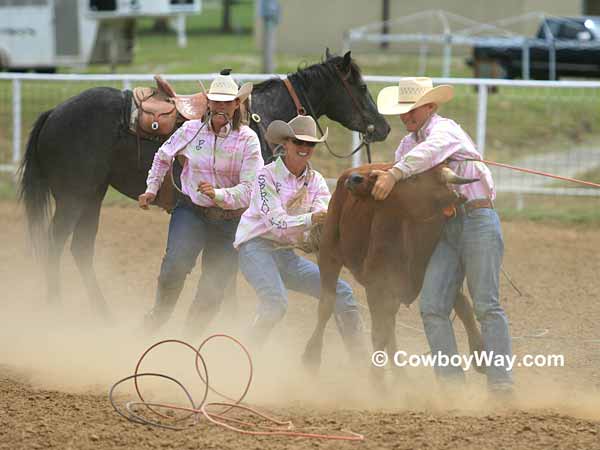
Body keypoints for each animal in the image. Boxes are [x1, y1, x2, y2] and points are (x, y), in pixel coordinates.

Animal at [18, 51, 392, 320]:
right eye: (360, 87)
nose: (384, 127)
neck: (266, 117)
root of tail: (54, 113)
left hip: (92, 195)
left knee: (81, 248)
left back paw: (102, 312)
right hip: (72, 197)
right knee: (55, 244)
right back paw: (56, 307)